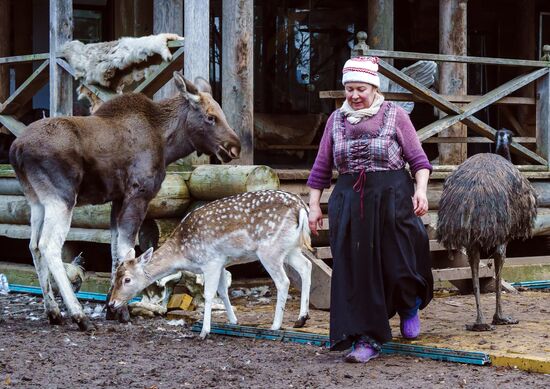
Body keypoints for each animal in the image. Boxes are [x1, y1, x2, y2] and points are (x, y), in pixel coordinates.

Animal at [9, 70, 242, 330]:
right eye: (211, 117)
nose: (235, 147)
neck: (166, 143)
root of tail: (16, 149)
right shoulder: (138, 193)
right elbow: (127, 249)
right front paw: (121, 310)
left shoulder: (117, 199)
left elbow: (114, 251)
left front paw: (112, 307)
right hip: (61, 198)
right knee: (48, 245)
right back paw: (78, 315)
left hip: (36, 200)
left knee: (33, 245)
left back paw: (53, 312)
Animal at [110, 189, 312, 338]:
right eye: (115, 277)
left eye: (127, 279)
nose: (112, 303)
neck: (183, 253)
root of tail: (301, 207)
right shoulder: (222, 262)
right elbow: (222, 291)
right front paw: (233, 321)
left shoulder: (211, 261)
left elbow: (209, 294)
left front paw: (204, 332)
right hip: (290, 248)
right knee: (306, 266)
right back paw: (301, 318)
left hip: (269, 250)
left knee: (283, 281)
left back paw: (275, 325)